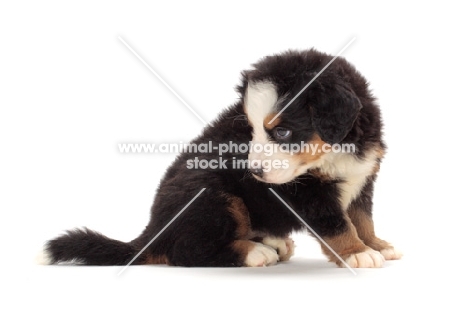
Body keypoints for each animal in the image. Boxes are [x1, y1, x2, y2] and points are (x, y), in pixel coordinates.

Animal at [39, 48, 402, 268]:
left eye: (282, 132)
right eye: (250, 130)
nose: (254, 172)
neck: (337, 150)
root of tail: (153, 231)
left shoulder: (363, 179)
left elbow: (362, 217)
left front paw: (376, 244)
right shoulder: (306, 193)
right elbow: (336, 223)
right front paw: (357, 253)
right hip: (213, 195)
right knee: (188, 250)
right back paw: (256, 251)